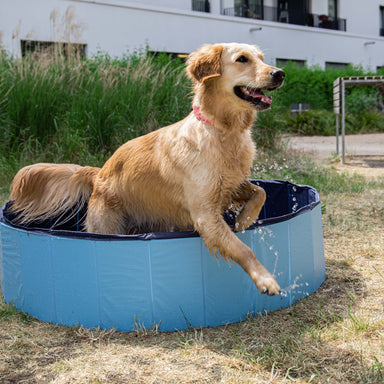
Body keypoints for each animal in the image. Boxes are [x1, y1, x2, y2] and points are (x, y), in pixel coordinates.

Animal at [10, 42, 284, 294]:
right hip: (108, 226)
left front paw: (244, 218)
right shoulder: (205, 215)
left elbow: (261, 192)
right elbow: (243, 249)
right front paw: (265, 279)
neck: (223, 131)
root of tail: (99, 173)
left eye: (262, 58)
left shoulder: (231, 184)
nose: (279, 73)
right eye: (242, 59)